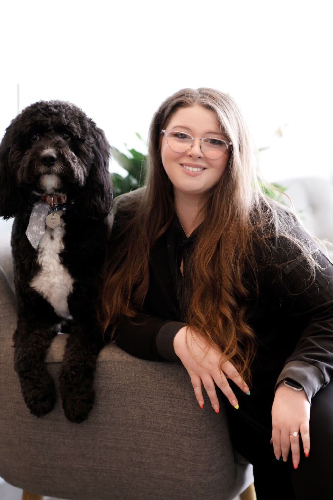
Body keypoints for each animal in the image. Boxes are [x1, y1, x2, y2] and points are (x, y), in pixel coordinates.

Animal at [0, 100, 112, 422]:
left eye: (67, 135)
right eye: (34, 137)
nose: (49, 157)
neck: (51, 210)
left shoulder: (90, 314)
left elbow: (77, 357)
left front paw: (75, 400)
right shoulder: (34, 314)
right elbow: (24, 355)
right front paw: (39, 396)